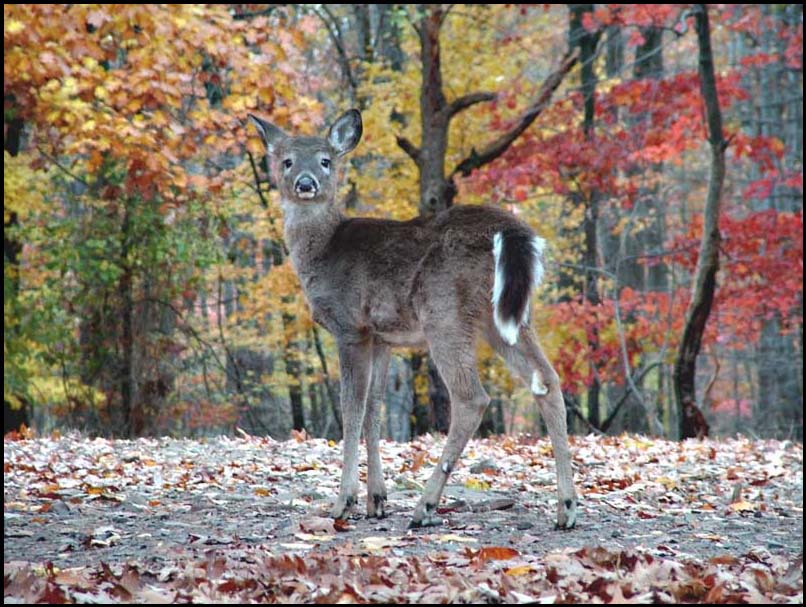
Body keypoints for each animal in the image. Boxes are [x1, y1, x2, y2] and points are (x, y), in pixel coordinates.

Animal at [249, 110, 576, 532]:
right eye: (287, 161)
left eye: (325, 160)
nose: (306, 184)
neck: (322, 252)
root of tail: (512, 232)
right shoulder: (381, 337)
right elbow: (374, 410)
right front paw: (377, 501)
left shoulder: (350, 326)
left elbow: (351, 408)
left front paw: (344, 502)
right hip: (507, 317)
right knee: (547, 380)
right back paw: (566, 508)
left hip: (445, 312)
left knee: (472, 398)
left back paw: (426, 505)